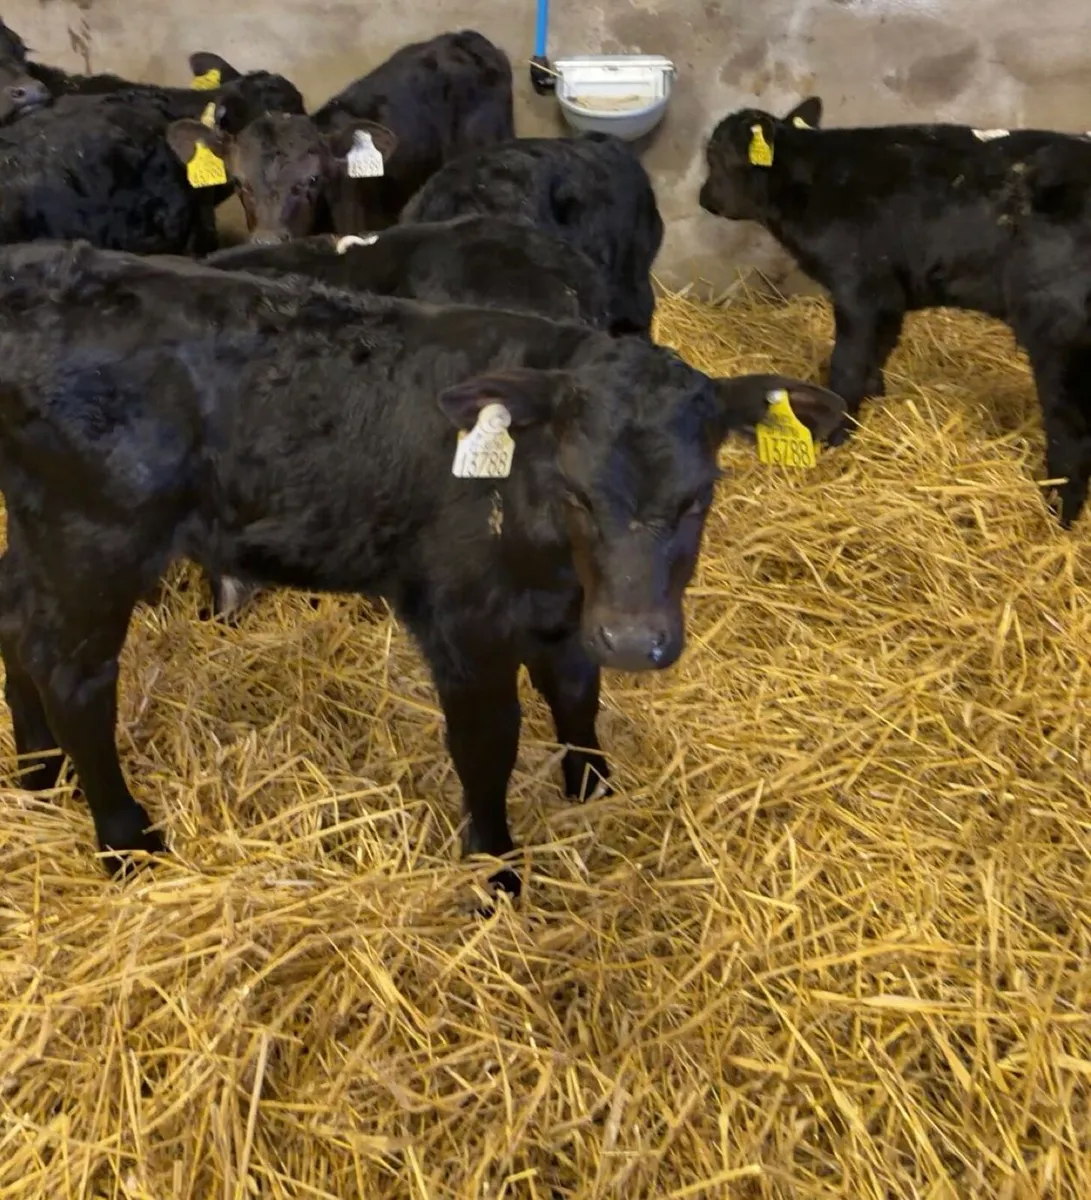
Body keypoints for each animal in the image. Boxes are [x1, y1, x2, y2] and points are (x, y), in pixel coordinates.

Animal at [0, 240, 846, 897]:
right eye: (576, 491)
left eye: (699, 494)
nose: (637, 641)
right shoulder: (461, 621)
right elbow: (487, 742)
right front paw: (495, 872)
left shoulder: (567, 614)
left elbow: (577, 697)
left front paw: (592, 791)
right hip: (95, 538)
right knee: (75, 677)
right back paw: (125, 839)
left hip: (41, 532)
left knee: (15, 625)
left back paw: (38, 772)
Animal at [698, 96, 1091, 526]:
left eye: (715, 157)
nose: (704, 199)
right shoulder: (890, 296)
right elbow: (877, 354)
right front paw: (874, 399)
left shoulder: (862, 288)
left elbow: (848, 364)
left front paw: (838, 434)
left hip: (1061, 335)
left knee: (1071, 428)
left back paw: (1058, 511)